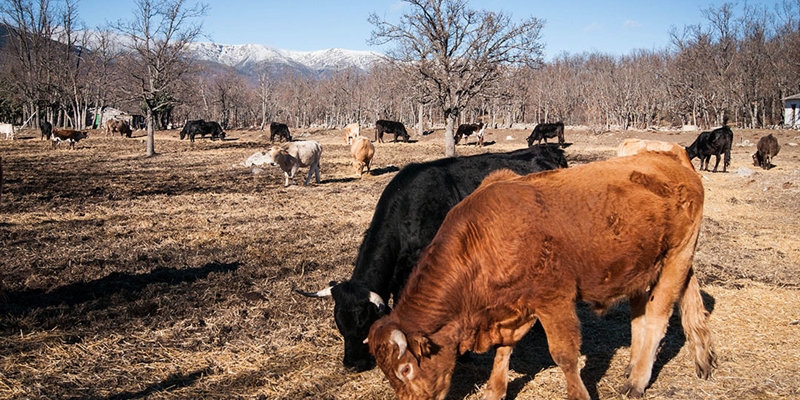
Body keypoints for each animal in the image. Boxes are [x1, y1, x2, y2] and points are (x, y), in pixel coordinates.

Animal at [366, 150, 716, 400]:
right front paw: (494, 391)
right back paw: (675, 362)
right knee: (651, 313)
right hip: (648, 266)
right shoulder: (513, 307)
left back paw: (638, 381)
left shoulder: (554, 301)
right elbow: (503, 350)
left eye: (406, 369)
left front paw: (578, 395)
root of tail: (671, 158)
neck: (483, 237)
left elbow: (564, 355)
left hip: (676, 258)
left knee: (657, 318)